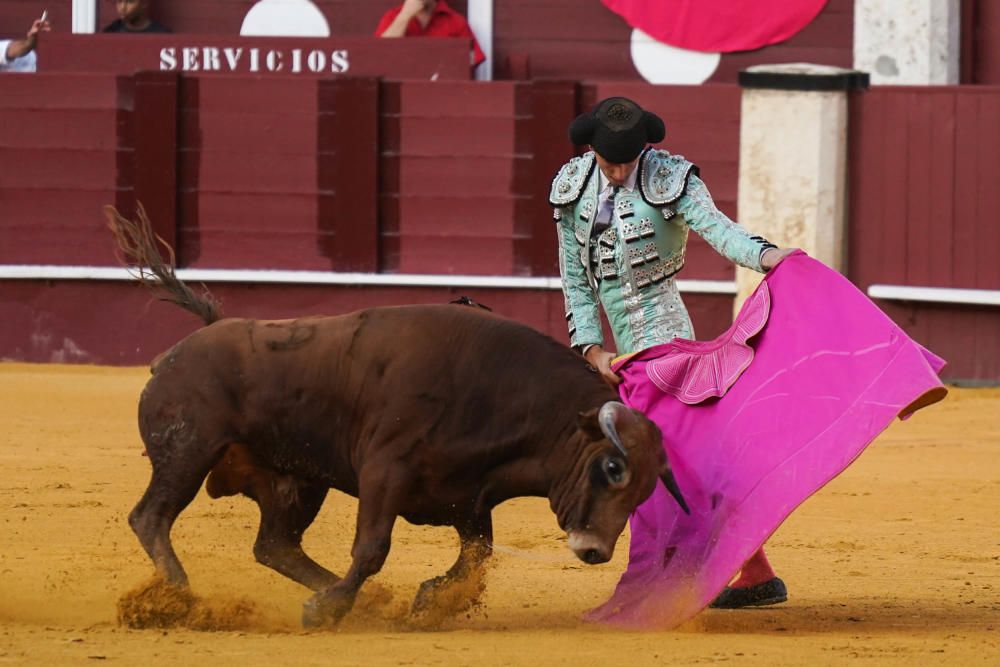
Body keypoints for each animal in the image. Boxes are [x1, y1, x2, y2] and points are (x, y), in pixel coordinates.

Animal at [107, 206, 688, 628]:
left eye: (643, 491)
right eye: (611, 469)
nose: (595, 551)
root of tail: (189, 343)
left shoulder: (466, 495)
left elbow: (477, 555)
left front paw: (427, 601)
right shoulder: (384, 472)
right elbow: (372, 548)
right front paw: (328, 610)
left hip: (296, 479)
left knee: (274, 543)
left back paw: (361, 601)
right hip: (187, 450)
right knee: (152, 517)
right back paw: (179, 599)